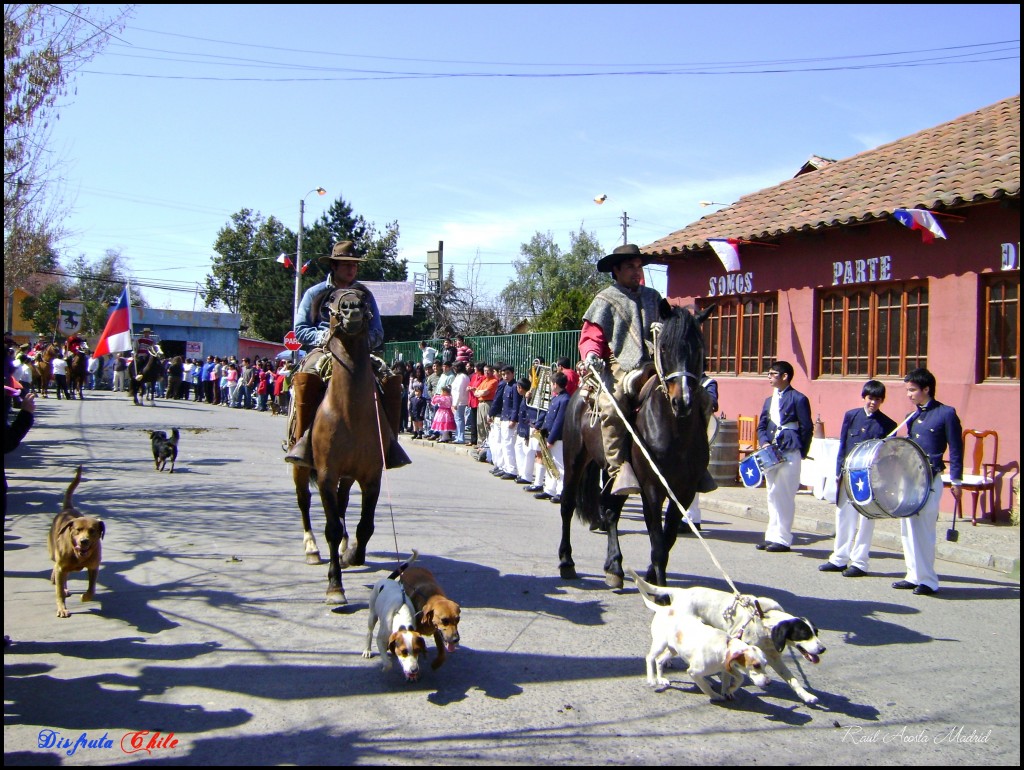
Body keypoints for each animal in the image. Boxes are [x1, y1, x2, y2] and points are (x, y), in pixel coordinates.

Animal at [46, 462, 104, 618]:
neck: (78, 555)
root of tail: (68, 509)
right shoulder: (61, 565)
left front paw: (85, 597)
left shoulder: (93, 566)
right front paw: (62, 609)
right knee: (57, 570)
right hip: (54, 553)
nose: (84, 541)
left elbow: (92, 588)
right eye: (77, 530)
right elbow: (59, 591)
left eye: (92, 530)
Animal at [290, 286, 405, 606]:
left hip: (348, 476)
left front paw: (352, 554)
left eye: (364, 299)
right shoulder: (326, 475)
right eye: (331, 300)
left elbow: (365, 525)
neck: (350, 411)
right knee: (304, 502)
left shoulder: (371, 477)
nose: (352, 308)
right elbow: (330, 527)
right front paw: (335, 587)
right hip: (302, 469)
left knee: (342, 506)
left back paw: (343, 548)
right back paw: (311, 548)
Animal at [561, 303, 712, 585]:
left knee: (610, 511)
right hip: (574, 459)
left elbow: (668, 539)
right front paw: (661, 589)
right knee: (567, 505)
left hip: (618, 473)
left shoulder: (684, 491)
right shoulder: (652, 488)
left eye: (699, 347)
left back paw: (614, 567)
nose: (682, 401)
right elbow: (658, 542)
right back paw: (567, 561)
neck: (676, 432)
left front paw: (652, 577)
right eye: (664, 347)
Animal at [626, 569, 827, 708]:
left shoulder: (773, 657)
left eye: (816, 633)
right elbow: (727, 675)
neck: (763, 619)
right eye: (805, 634)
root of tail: (681, 591)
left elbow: (793, 680)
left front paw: (807, 696)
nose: (822, 649)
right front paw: (724, 691)